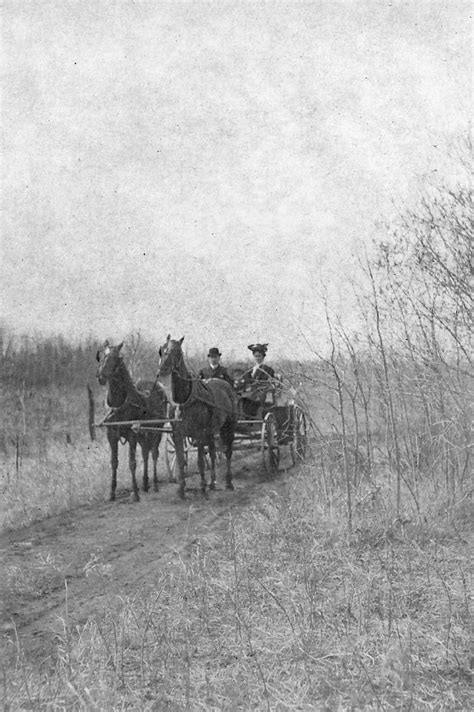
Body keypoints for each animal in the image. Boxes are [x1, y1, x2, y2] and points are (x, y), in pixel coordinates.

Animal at [96, 340, 168, 500]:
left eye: (117, 358)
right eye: (101, 356)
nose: (101, 376)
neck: (119, 404)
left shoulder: (131, 434)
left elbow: (132, 462)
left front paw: (135, 493)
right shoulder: (112, 435)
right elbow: (114, 462)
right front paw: (112, 493)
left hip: (156, 430)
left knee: (154, 453)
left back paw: (154, 484)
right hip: (142, 433)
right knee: (146, 453)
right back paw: (145, 483)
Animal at [156, 336, 236, 498]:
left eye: (178, 352)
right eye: (161, 349)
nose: (162, 370)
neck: (184, 399)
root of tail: (225, 383)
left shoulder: (198, 433)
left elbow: (200, 461)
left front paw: (202, 487)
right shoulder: (177, 433)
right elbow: (181, 460)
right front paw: (181, 489)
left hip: (227, 427)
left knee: (227, 451)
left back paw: (228, 482)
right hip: (211, 431)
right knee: (212, 452)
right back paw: (212, 483)